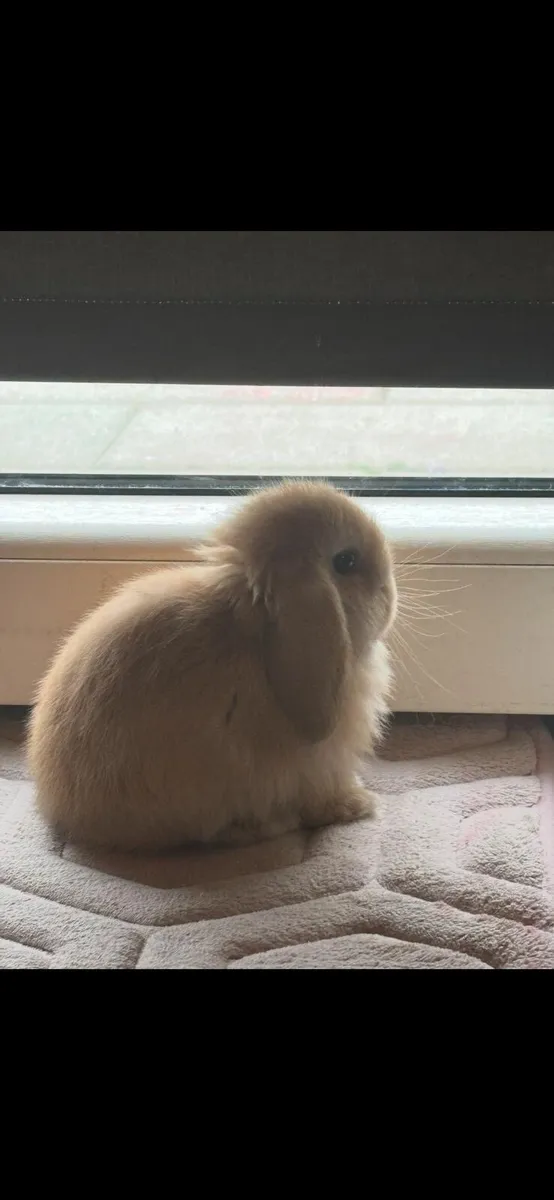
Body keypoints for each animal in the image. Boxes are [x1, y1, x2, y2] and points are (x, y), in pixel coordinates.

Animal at [28, 481, 397, 852]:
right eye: (346, 561)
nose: (390, 594)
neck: (254, 620)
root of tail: (68, 816)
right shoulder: (318, 766)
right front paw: (359, 805)